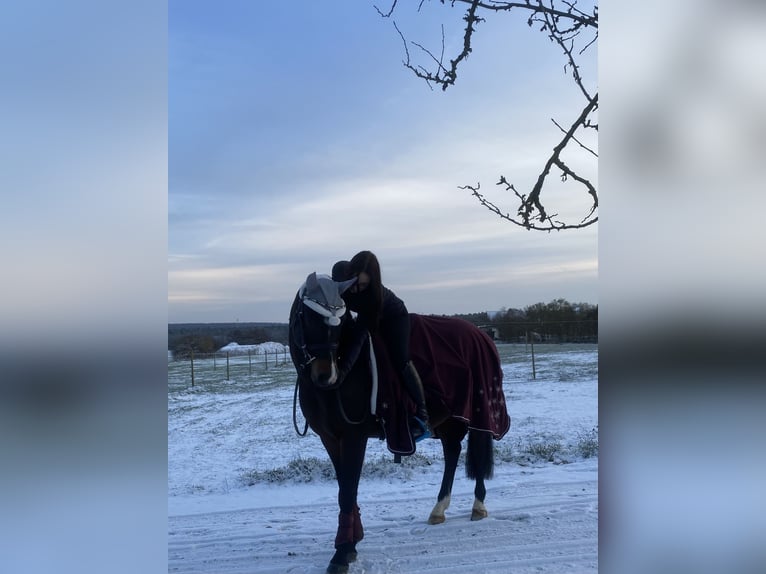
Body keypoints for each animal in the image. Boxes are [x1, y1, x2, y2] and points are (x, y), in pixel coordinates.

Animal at [288, 274, 510, 574]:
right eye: (309, 318)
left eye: (339, 324)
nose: (327, 375)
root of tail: (481, 334)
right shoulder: (330, 438)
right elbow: (344, 487)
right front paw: (352, 541)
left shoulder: (354, 436)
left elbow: (348, 490)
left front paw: (343, 552)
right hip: (451, 419)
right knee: (452, 452)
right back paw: (439, 508)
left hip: (477, 412)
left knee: (475, 450)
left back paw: (478, 505)